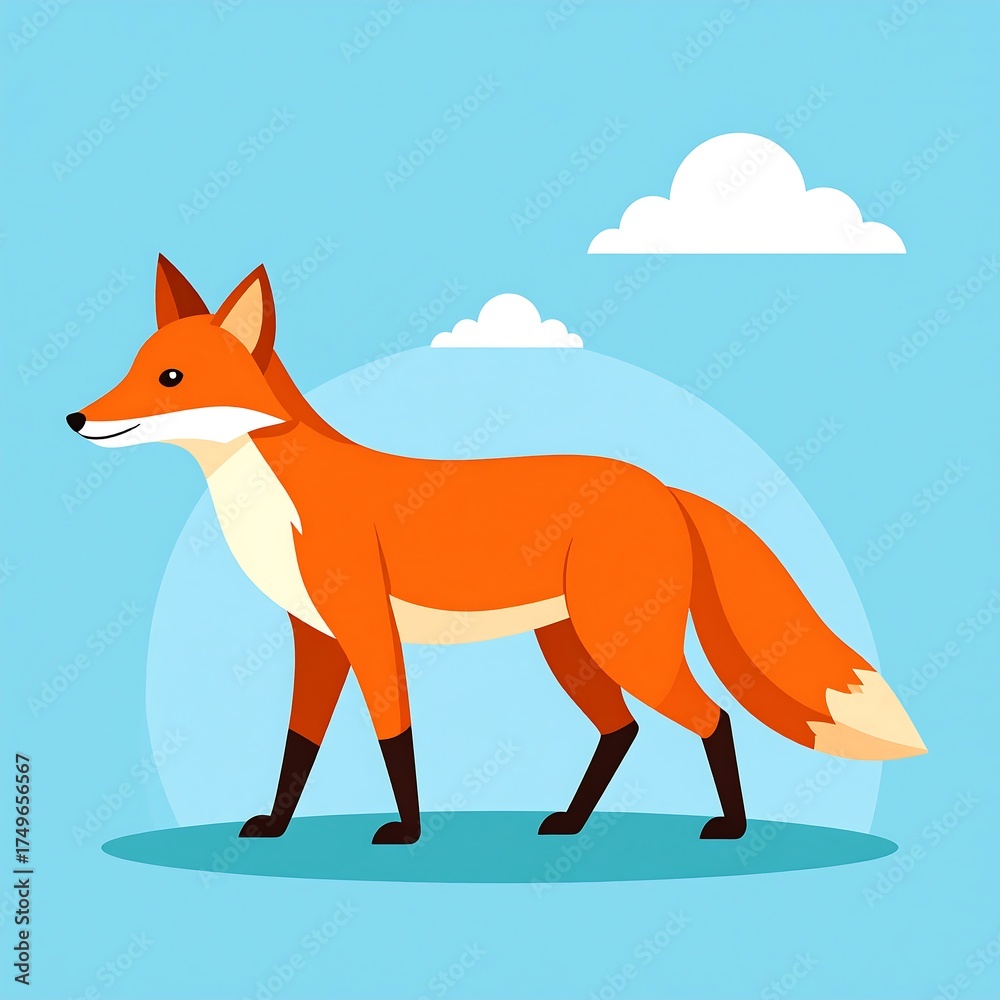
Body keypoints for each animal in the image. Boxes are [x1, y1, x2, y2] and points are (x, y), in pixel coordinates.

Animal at [67, 256, 926, 844]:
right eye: (134, 367)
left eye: (170, 377)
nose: (75, 417)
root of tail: (663, 485)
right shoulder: (315, 638)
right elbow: (297, 748)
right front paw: (275, 828)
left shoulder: (366, 626)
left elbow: (394, 736)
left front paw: (406, 834)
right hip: (572, 646)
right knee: (623, 730)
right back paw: (571, 822)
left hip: (624, 644)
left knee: (711, 717)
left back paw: (732, 829)